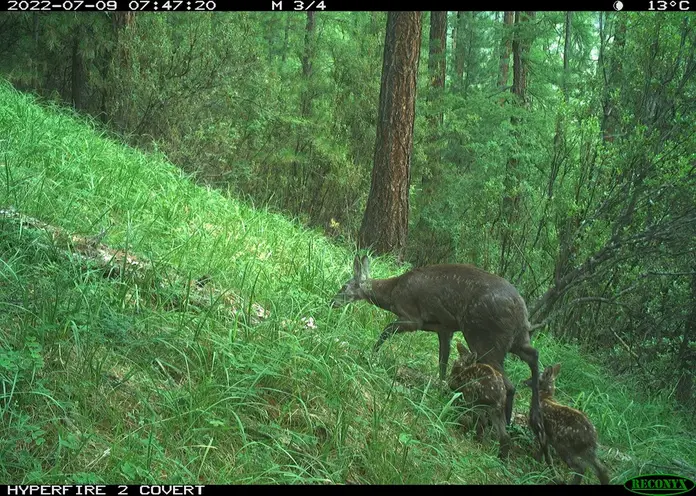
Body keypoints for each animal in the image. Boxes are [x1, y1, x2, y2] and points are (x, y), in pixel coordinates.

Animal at [332, 256, 544, 438]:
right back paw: (534, 418)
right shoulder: (444, 328)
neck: (392, 293)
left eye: (344, 286)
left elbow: (386, 330)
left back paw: (503, 425)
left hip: (484, 336)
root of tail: (521, 309)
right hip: (516, 338)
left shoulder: (412, 317)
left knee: (509, 383)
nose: (332, 302)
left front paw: (372, 354)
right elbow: (442, 363)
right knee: (533, 355)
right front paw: (441, 392)